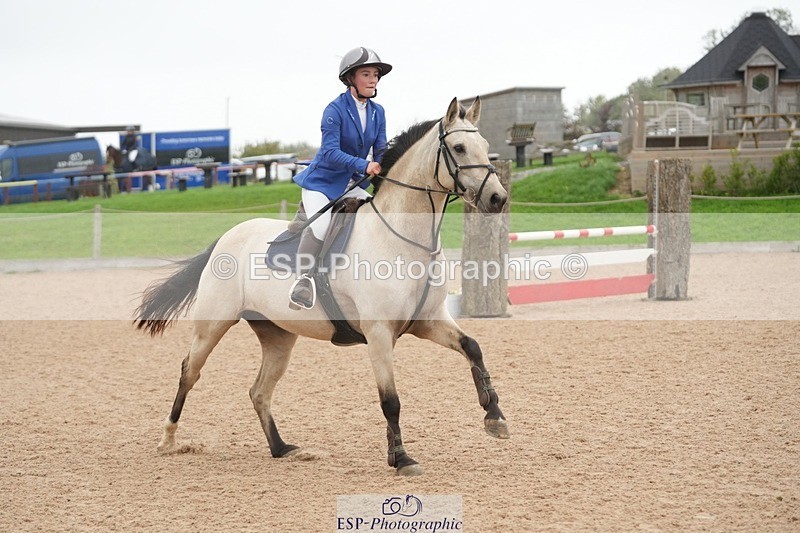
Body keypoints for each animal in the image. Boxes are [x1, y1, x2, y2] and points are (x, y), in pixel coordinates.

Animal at [135, 97, 510, 476]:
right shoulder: (379, 333)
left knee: (259, 391)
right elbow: (390, 401)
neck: (404, 240)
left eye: (486, 146)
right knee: (189, 372)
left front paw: (494, 416)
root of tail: (227, 237)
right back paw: (168, 441)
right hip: (213, 325)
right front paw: (401, 458)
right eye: (459, 148)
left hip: (277, 336)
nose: (498, 199)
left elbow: (473, 347)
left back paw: (282, 448)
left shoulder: (428, 321)